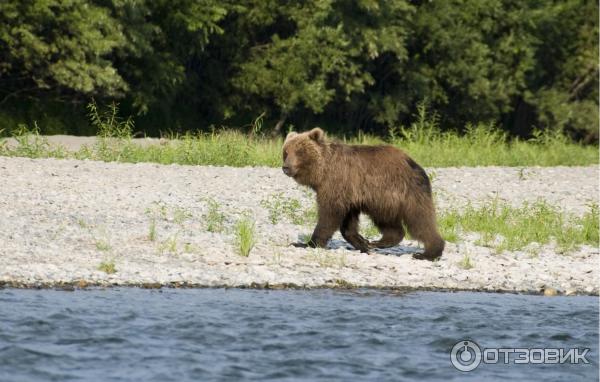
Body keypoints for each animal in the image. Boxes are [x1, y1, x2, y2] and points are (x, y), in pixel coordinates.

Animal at [282, 127, 446, 260]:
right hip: (385, 200)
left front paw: (307, 243)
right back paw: (378, 242)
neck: (322, 172)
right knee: (389, 222)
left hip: (400, 193)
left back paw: (428, 253)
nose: (286, 167)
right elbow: (348, 222)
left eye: (299, 151)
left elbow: (329, 214)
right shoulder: (349, 194)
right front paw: (363, 243)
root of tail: (414, 163)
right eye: (285, 152)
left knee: (420, 219)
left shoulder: (336, 183)